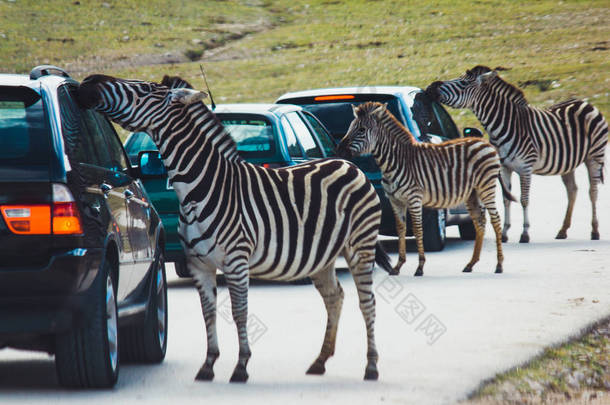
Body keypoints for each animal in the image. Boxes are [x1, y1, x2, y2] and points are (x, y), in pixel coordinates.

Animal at [76, 74, 392, 380]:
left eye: (143, 89)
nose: (90, 82)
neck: (199, 189)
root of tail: (350, 165)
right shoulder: (199, 264)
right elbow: (209, 314)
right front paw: (208, 365)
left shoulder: (237, 261)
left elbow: (240, 312)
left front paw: (241, 367)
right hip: (321, 257)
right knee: (334, 297)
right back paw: (320, 362)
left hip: (360, 246)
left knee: (367, 302)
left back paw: (371, 367)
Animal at [334, 102, 510, 276]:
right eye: (350, 127)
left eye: (362, 129)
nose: (339, 150)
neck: (395, 162)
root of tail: (485, 143)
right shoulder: (395, 200)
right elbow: (401, 229)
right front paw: (398, 266)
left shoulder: (414, 198)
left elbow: (418, 230)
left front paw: (420, 267)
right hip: (472, 193)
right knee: (480, 222)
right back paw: (471, 264)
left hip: (486, 187)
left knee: (495, 220)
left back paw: (499, 265)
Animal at [426, 66, 604, 243]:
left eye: (463, 83)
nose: (431, 87)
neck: (504, 125)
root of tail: (585, 102)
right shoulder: (504, 168)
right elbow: (506, 200)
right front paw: (504, 234)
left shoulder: (525, 168)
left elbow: (524, 200)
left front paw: (524, 234)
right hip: (568, 163)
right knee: (572, 191)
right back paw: (563, 230)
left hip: (594, 156)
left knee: (593, 191)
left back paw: (595, 231)